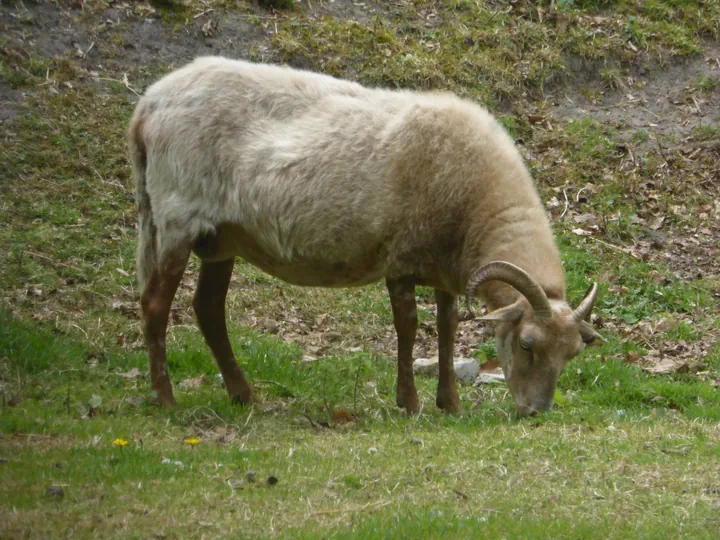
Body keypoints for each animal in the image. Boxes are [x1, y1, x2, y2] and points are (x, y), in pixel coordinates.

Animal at [128, 56, 600, 418]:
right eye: (526, 343)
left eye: (573, 354)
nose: (536, 412)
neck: (477, 207)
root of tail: (149, 104)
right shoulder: (402, 258)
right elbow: (408, 328)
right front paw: (409, 404)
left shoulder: (443, 268)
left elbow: (446, 328)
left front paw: (450, 404)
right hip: (175, 219)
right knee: (154, 306)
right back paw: (167, 400)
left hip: (220, 238)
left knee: (208, 309)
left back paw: (244, 396)